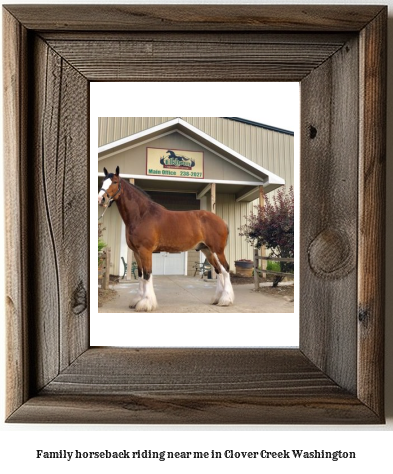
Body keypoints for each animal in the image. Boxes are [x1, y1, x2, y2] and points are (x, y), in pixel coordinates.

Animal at [97, 167, 233, 312]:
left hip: (217, 250)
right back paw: (217, 298)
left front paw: (146, 303)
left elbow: (147, 274)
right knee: (219, 270)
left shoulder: (145, 251)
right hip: (207, 251)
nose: (101, 199)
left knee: (225, 269)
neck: (142, 215)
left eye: (115, 182)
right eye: (103, 181)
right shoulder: (136, 252)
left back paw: (226, 300)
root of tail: (222, 221)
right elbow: (140, 275)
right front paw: (137, 300)